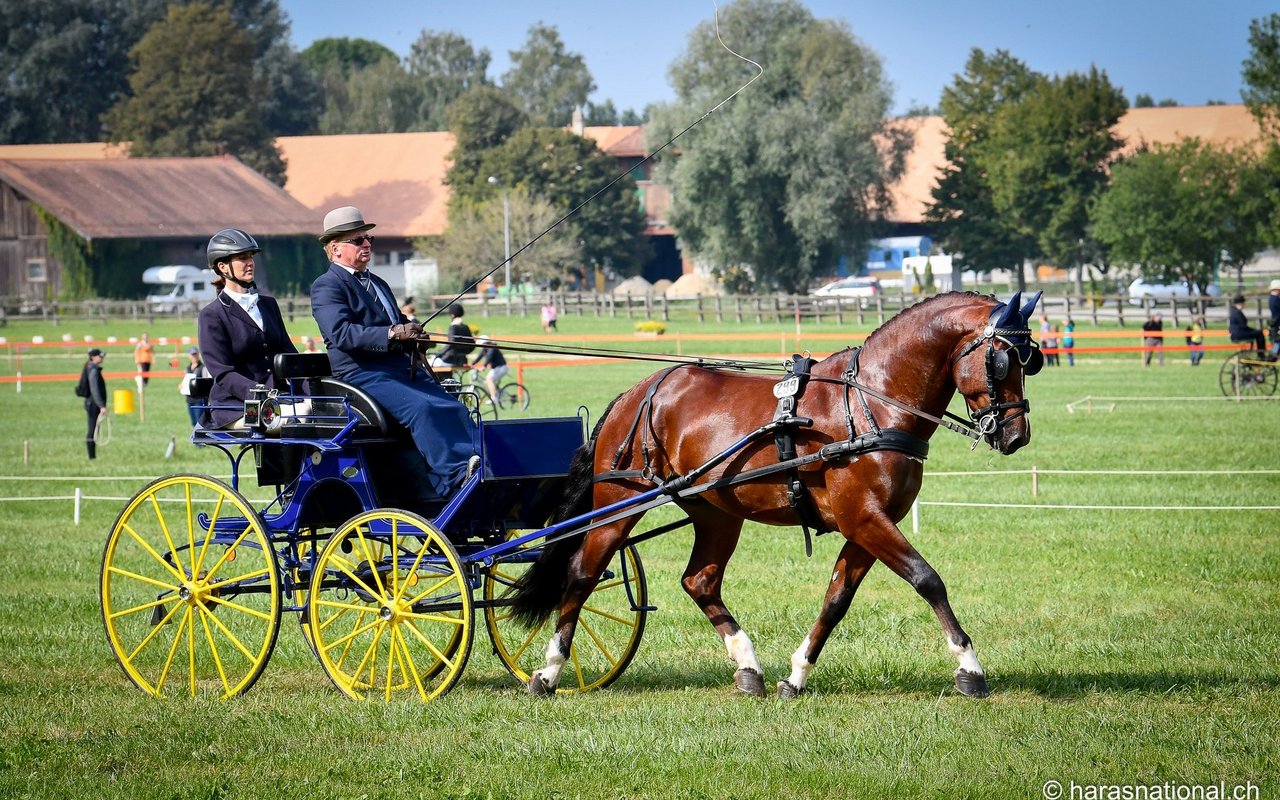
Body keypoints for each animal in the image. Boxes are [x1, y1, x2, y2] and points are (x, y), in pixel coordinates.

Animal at [506, 290, 1039, 696]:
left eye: (1028, 359)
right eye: (1001, 360)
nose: (1016, 436)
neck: (869, 403)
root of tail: (637, 393)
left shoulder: (866, 525)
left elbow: (836, 600)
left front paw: (797, 675)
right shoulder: (865, 517)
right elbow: (928, 580)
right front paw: (969, 667)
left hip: (717, 513)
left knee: (699, 582)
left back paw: (748, 665)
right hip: (619, 503)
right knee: (582, 574)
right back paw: (548, 671)